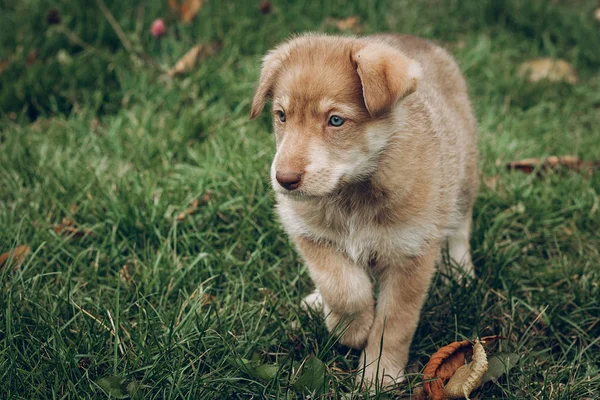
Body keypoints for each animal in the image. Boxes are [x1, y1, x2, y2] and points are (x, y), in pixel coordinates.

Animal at [248, 33, 478, 388]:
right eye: (282, 115)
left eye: (336, 120)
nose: (284, 180)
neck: (352, 193)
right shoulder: (310, 233)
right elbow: (343, 287)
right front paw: (349, 328)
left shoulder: (411, 255)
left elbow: (393, 325)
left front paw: (380, 375)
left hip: (464, 178)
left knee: (460, 227)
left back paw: (461, 271)